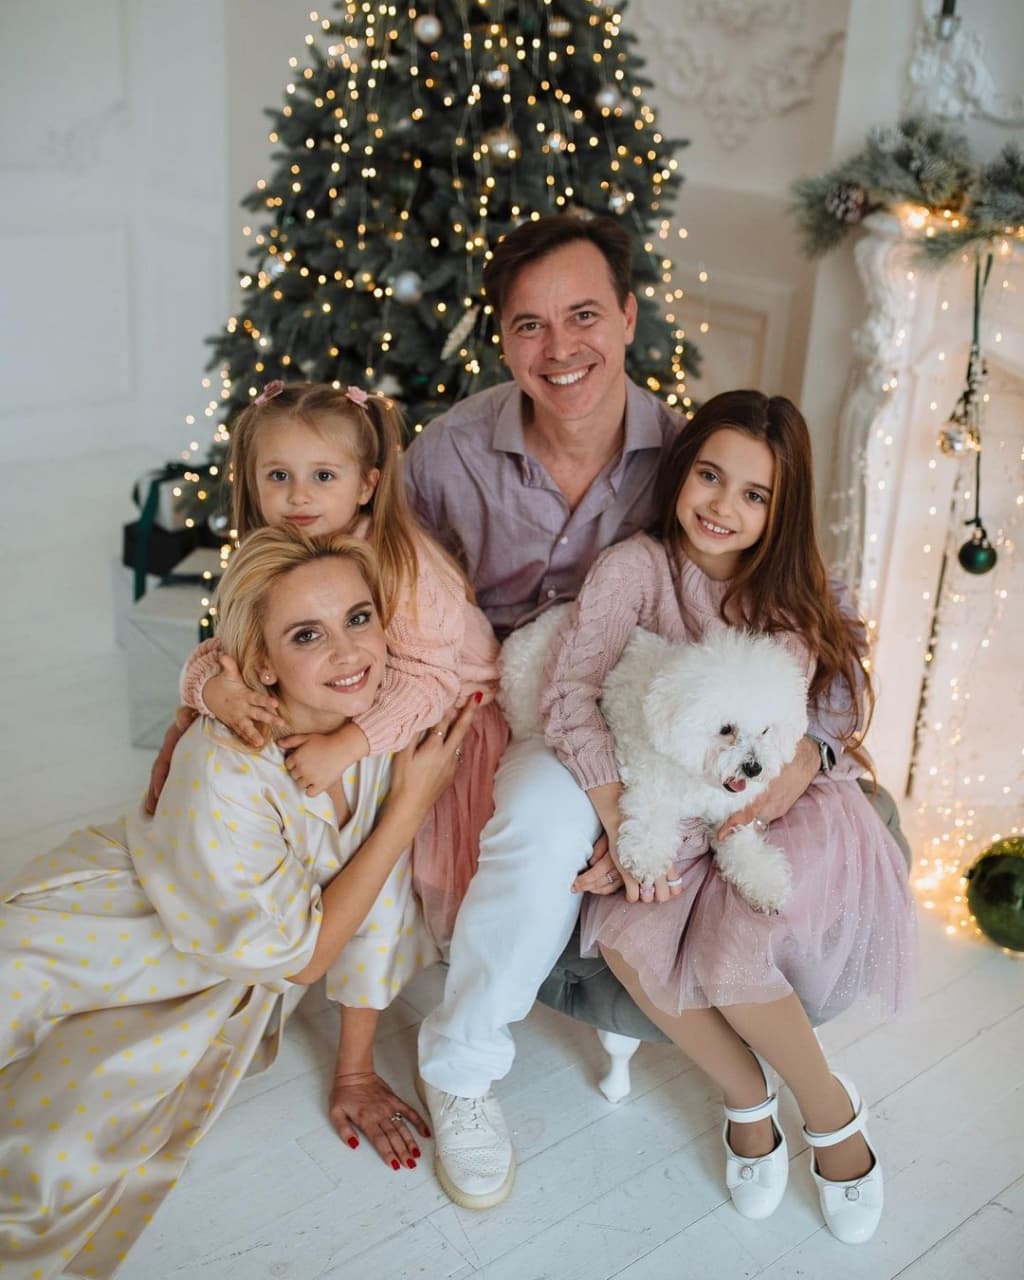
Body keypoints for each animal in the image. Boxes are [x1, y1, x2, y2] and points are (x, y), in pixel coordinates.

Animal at [499, 607, 808, 913]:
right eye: (725, 729)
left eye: (766, 730)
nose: (754, 768)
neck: (699, 778)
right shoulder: (651, 782)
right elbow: (650, 819)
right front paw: (647, 859)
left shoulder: (730, 817)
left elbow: (744, 847)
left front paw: (767, 884)